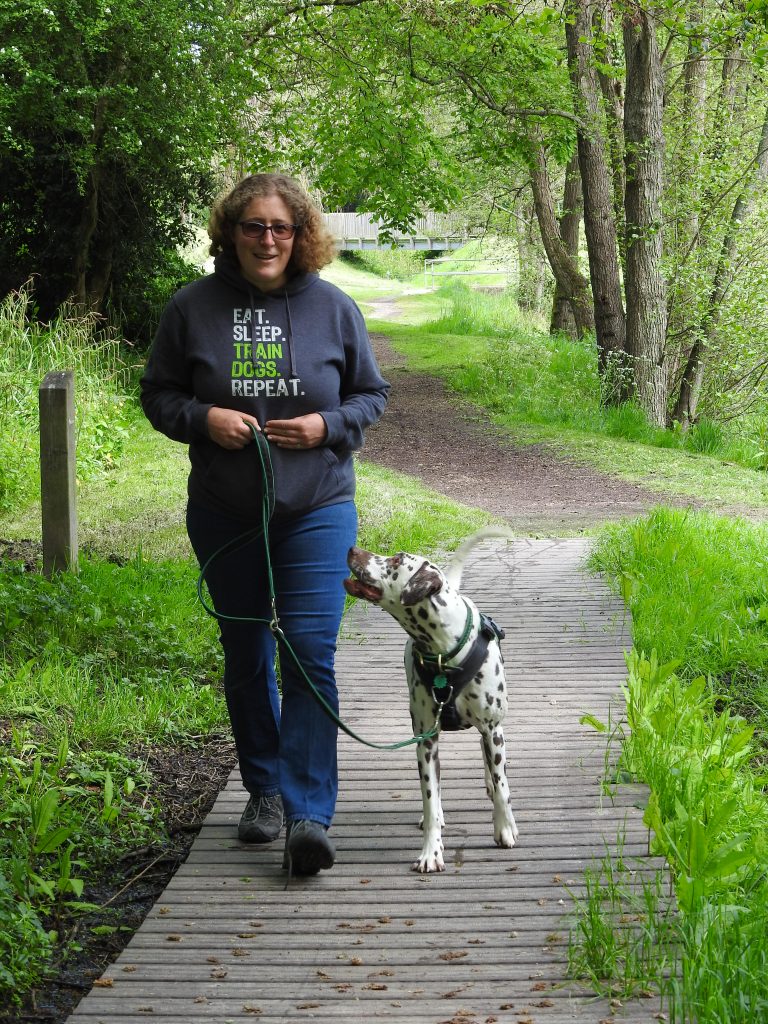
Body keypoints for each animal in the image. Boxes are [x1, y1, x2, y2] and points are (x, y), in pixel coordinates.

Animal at [346, 528, 520, 872]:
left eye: (396, 561)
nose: (352, 549)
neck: (444, 650)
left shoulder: (493, 729)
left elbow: (503, 786)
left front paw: (505, 827)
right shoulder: (426, 740)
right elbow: (430, 799)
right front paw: (431, 852)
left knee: (492, 767)